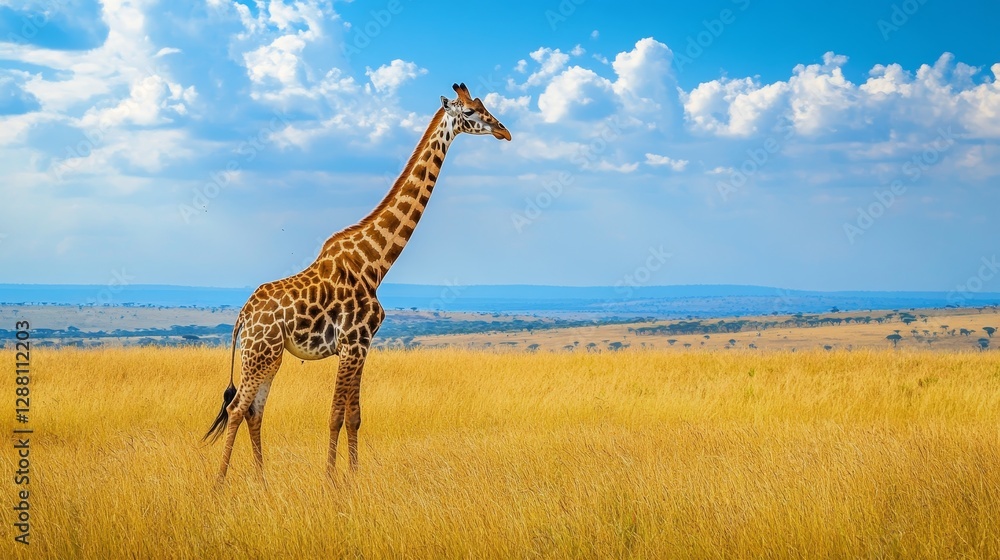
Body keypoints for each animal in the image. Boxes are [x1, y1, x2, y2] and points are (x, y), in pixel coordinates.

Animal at [204, 83, 511, 482]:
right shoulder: (353, 343)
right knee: (239, 408)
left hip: (269, 356)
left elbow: (354, 417)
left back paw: (262, 481)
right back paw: (219, 484)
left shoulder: (363, 346)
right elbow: (336, 415)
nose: (504, 131)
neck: (374, 261)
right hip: (260, 352)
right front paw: (331, 481)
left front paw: (352, 477)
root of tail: (242, 317)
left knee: (255, 410)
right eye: (471, 112)